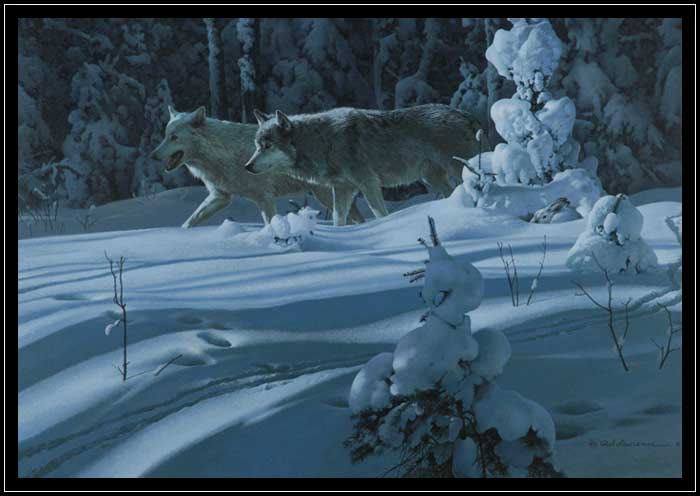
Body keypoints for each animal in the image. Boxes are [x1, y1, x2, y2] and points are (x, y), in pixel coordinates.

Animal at [150, 106, 363, 228]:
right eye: (165, 136)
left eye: (174, 137)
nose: (152, 155)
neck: (222, 154)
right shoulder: (220, 197)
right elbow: (189, 223)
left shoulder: (264, 199)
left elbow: (269, 224)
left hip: (325, 196)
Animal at [244, 104, 488, 225]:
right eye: (257, 145)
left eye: (268, 145)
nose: (247, 166)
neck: (322, 142)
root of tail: (466, 114)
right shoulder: (343, 189)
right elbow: (338, 219)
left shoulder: (368, 183)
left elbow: (379, 213)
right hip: (433, 178)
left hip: (459, 168)